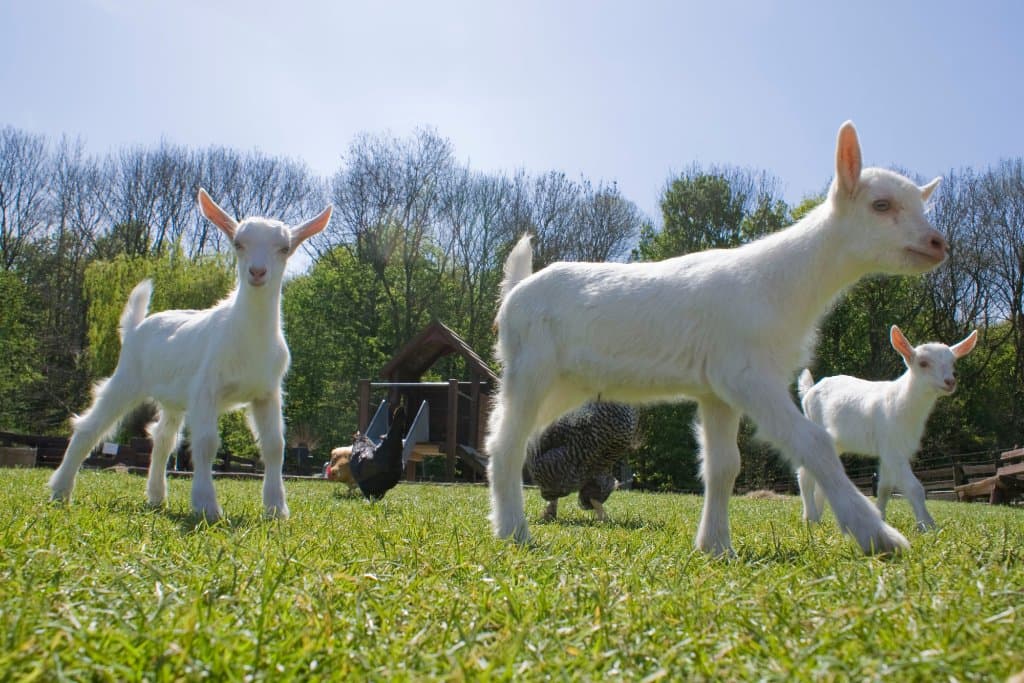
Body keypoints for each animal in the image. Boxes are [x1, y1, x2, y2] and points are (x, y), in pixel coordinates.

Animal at [48, 189, 332, 521]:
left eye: (285, 248)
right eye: (238, 243)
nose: (258, 272)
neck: (246, 338)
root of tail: (134, 328)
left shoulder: (267, 392)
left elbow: (275, 445)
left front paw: (277, 509)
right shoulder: (205, 389)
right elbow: (206, 443)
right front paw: (206, 506)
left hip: (172, 398)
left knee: (162, 437)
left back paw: (157, 497)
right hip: (127, 377)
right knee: (89, 428)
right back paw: (60, 491)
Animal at [486, 121, 948, 555]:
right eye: (881, 205)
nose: (938, 243)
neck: (782, 282)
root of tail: (515, 289)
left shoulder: (717, 390)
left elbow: (723, 467)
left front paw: (716, 546)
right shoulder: (747, 373)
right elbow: (813, 442)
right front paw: (879, 536)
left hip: (563, 384)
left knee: (514, 439)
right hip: (530, 368)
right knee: (505, 444)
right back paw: (513, 531)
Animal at [797, 325, 978, 531]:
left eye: (953, 363)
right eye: (923, 363)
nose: (950, 381)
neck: (901, 403)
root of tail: (809, 391)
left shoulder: (891, 449)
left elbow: (884, 488)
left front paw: (881, 518)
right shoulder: (892, 446)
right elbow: (914, 487)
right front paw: (928, 525)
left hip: (836, 443)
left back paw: (819, 516)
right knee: (804, 475)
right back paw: (810, 517)